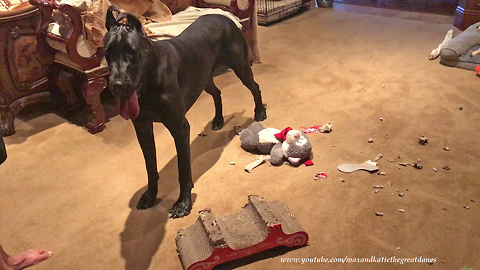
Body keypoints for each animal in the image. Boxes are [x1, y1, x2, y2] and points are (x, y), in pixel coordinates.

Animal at [104, 7, 266, 218]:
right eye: (107, 53)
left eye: (132, 51)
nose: (117, 86)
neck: (149, 78)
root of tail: (224, 16)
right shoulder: (143, 128)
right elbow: (150, 166)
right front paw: (150, 195)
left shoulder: (179, 127)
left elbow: (183, 170)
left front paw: (183, 203)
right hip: (204, 78)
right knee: (217, 93)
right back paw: (218, 119)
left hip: (240, 67)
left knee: (254, 87)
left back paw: (260, 111)